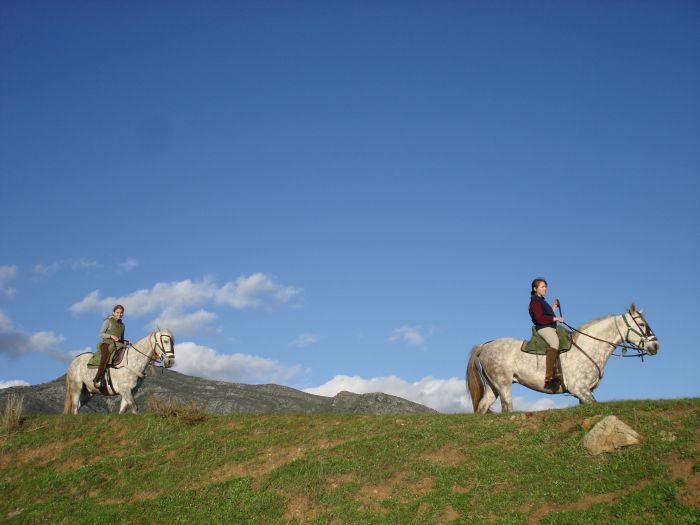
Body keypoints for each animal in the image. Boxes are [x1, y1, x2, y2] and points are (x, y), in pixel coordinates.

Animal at [468, 302, 660, 414]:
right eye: (641, 324)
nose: (656, 346)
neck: (589, 347)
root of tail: (485, 346)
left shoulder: (583, 394)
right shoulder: (581, 389)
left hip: (494, 386)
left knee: (482, 407)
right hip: (504, 384)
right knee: (507, 409)